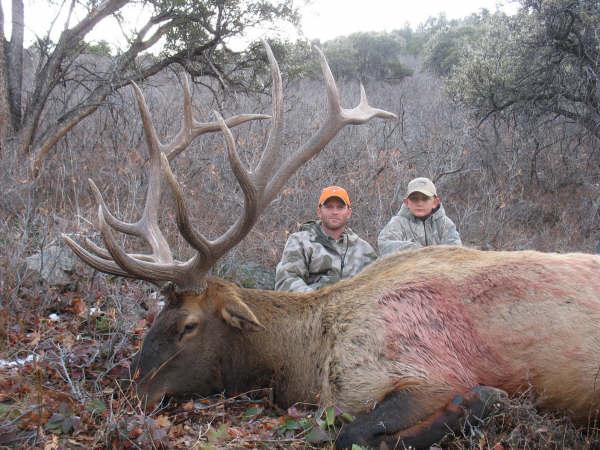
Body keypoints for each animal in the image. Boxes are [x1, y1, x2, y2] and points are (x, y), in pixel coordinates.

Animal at [62, 43, 600, 450]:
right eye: (156, 313)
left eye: (188, 325)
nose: (132, 390)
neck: (307, 359)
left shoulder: (427, 372)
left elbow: (352, 435)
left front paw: (486, 400)